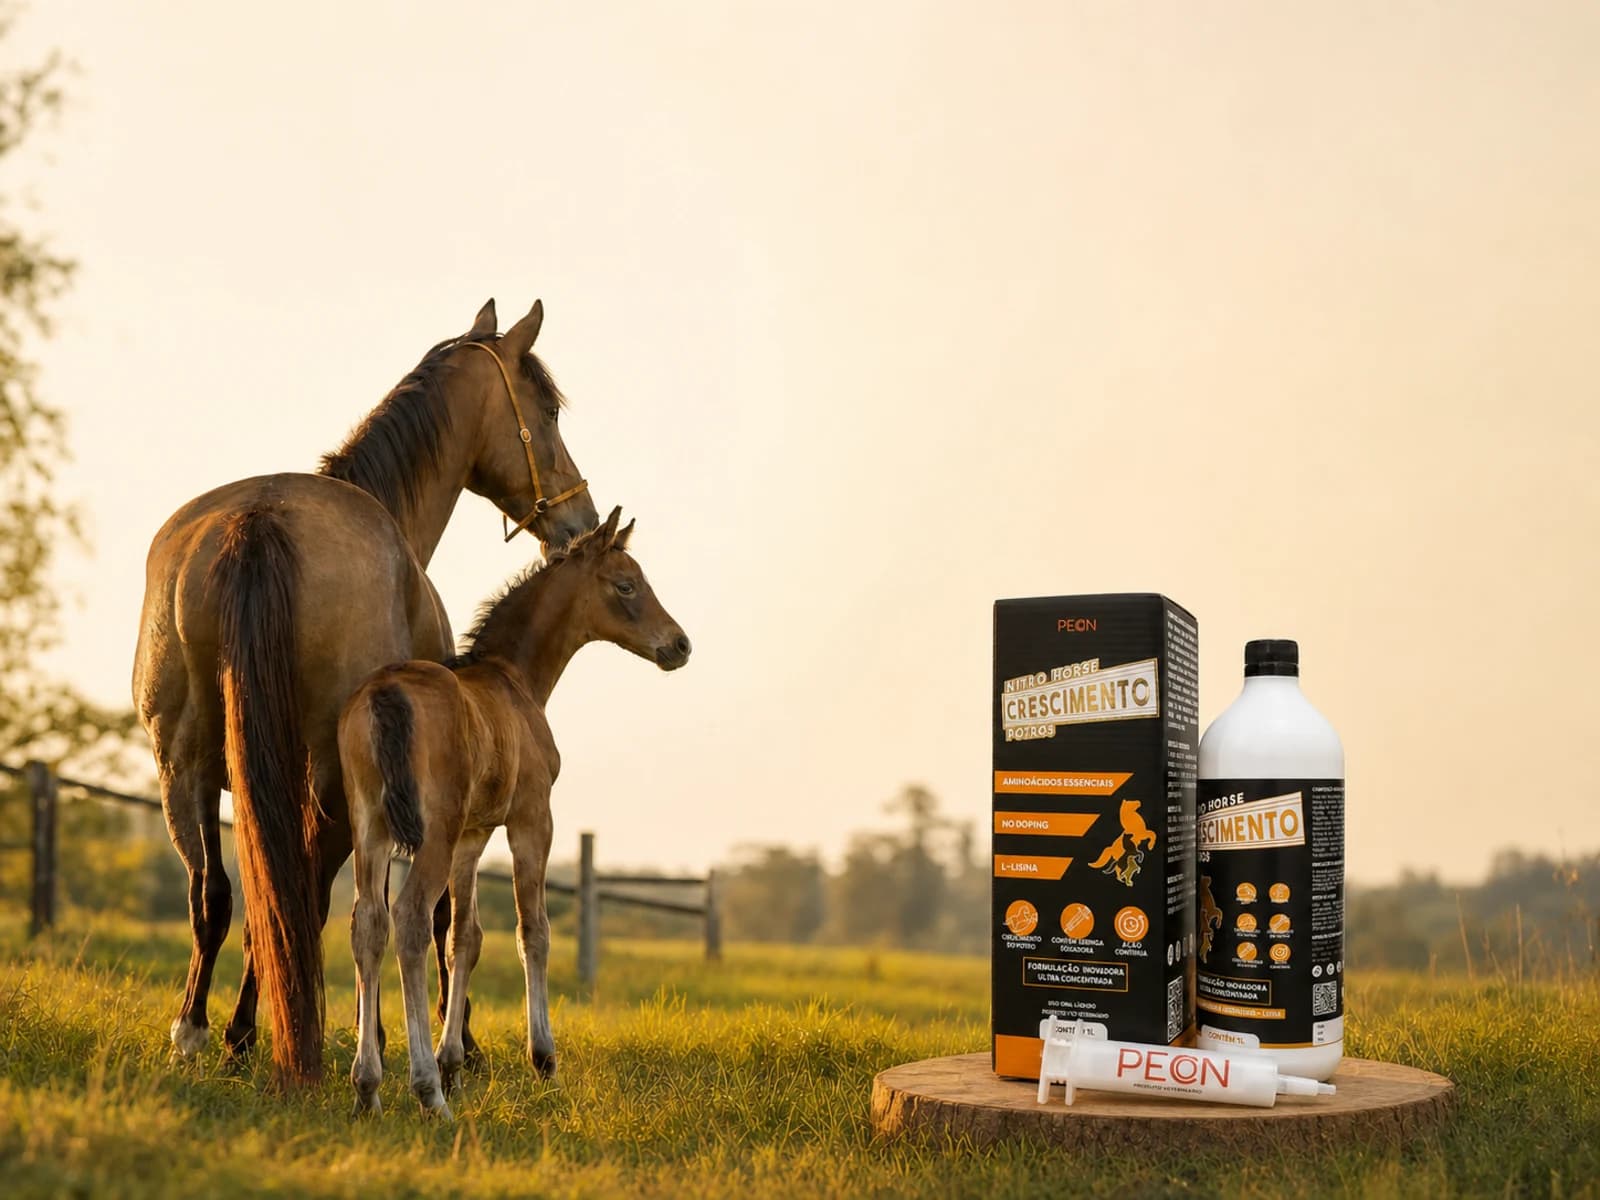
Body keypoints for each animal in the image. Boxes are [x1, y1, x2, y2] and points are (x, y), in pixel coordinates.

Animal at [132, 297, 599, 1085]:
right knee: (316, 904)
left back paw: (205, 1032)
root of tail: (257, 523)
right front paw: (442, 1040)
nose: (581, 519)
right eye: (548, 410)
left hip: (184, 768)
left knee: (221, 897)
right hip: (323, 784)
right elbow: (432, 915)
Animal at [339, 507, 689, 1117]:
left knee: (370, 923)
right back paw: (426, 1092)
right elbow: (534, 930)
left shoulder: (473, 835)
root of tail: (385, 693)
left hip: (371, 827)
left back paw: (368, 1089)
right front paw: (543, 1059)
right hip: (431, 832)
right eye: (626, 585)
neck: (512, 677)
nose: (680, 644)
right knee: (409, 919)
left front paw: (455, 1063)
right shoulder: (531, 818)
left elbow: (465, 937)